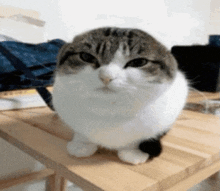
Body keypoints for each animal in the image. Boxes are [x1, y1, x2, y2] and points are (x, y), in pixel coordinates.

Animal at [52, 27, 188, 166]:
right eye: (86, 56)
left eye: (138, 62)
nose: (106, 77)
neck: (109, 112)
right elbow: (81, 133)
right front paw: (82, 144)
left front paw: (133, 152)